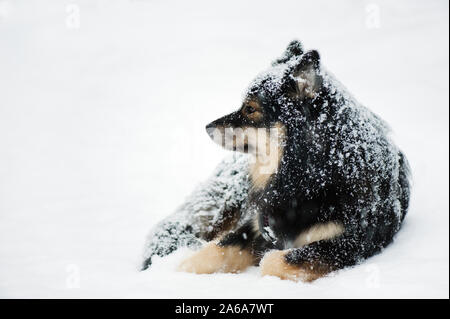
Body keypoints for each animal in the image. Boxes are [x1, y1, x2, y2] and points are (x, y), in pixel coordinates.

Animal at [177, 41, 412, 284]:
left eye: (250, 109)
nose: (207, 127)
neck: (310, 177)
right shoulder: (259, 223)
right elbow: (216, 249)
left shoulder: (348, 242)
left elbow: (272, 262)